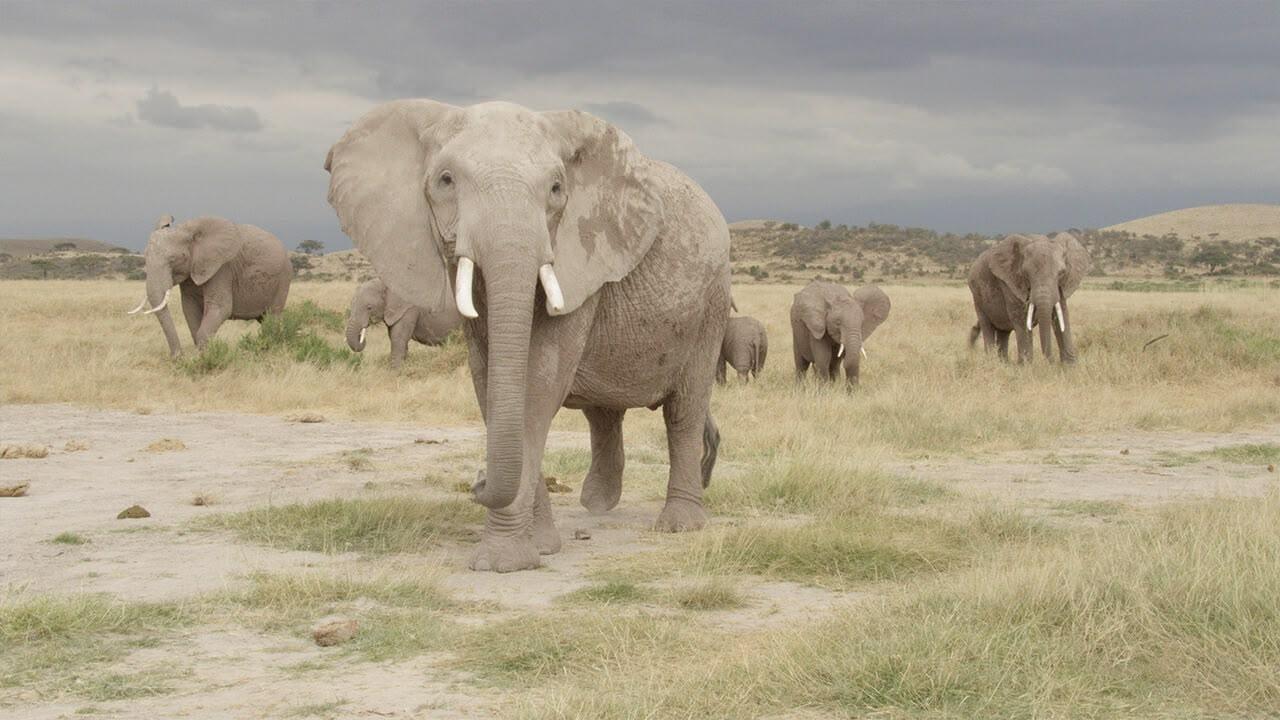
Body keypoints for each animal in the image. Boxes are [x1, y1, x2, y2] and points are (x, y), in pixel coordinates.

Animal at [125, 213, 293, 356]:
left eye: (174, 259)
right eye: (145, 257)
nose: (177, 357)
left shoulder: (222, 268)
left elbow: (221, 308)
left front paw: (203, 357)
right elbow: (189, 309)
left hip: (283, 279)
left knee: (272, 318)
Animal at [325, 98, 732, 568]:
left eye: (556, 189)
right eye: (445, 180)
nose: (477, 482)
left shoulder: (579, 259)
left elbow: (539, 382)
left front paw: (504, 561)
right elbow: (491, 384)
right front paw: (540, 546)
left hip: (711, 302)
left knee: (684, 408)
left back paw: (680, 525)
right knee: (604, 414)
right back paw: (598, 504)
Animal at [967, 230, 1090, 361]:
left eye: (1061, 273)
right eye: (1026, 274)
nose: (1049, 361)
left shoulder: (1061, 287)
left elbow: (1062, 316)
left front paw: (1069, 365)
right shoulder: (1009, 282)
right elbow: (1022, 320)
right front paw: (1026, 365)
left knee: (1003, 332)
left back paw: (1003, 363)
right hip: (977, 296)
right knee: (987, 326)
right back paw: (991, 361)